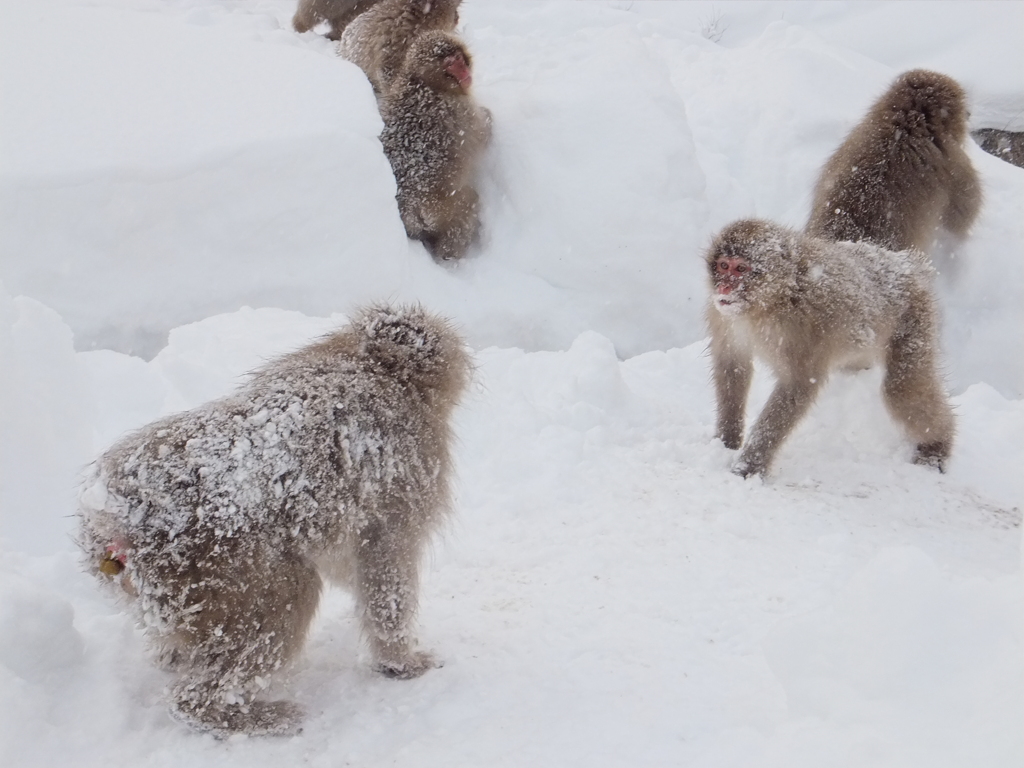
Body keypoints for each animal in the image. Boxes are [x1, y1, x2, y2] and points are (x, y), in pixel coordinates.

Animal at [78, 303, 471, 737]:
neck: (372, 364)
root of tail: (118, 520)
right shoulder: (404, 485)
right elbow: (385, 571)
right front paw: (401, 661)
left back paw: (176, 656)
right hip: (221, 568)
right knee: (285, 600)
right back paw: (237, 714)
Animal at [380, 30, 491, 262]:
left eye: (458, 59)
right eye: (450, 65)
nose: (465, 74)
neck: (424, 82)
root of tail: (412, 206)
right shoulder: (460, 110)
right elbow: (481, 135)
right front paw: (489, 117)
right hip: (445, 210)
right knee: (467, 209)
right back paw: (449, 257)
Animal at [704, 219, 950, 479]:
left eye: (741, 269)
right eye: (723, 266)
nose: (724, 288)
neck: (770, 303)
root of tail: (905, 264)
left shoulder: (805, 330)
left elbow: (798, 386)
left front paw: (749, 465)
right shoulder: (723, 317)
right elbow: (732, 366)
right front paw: (726, 441)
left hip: (915, 317)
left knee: (902, 388)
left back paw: (936, 448)